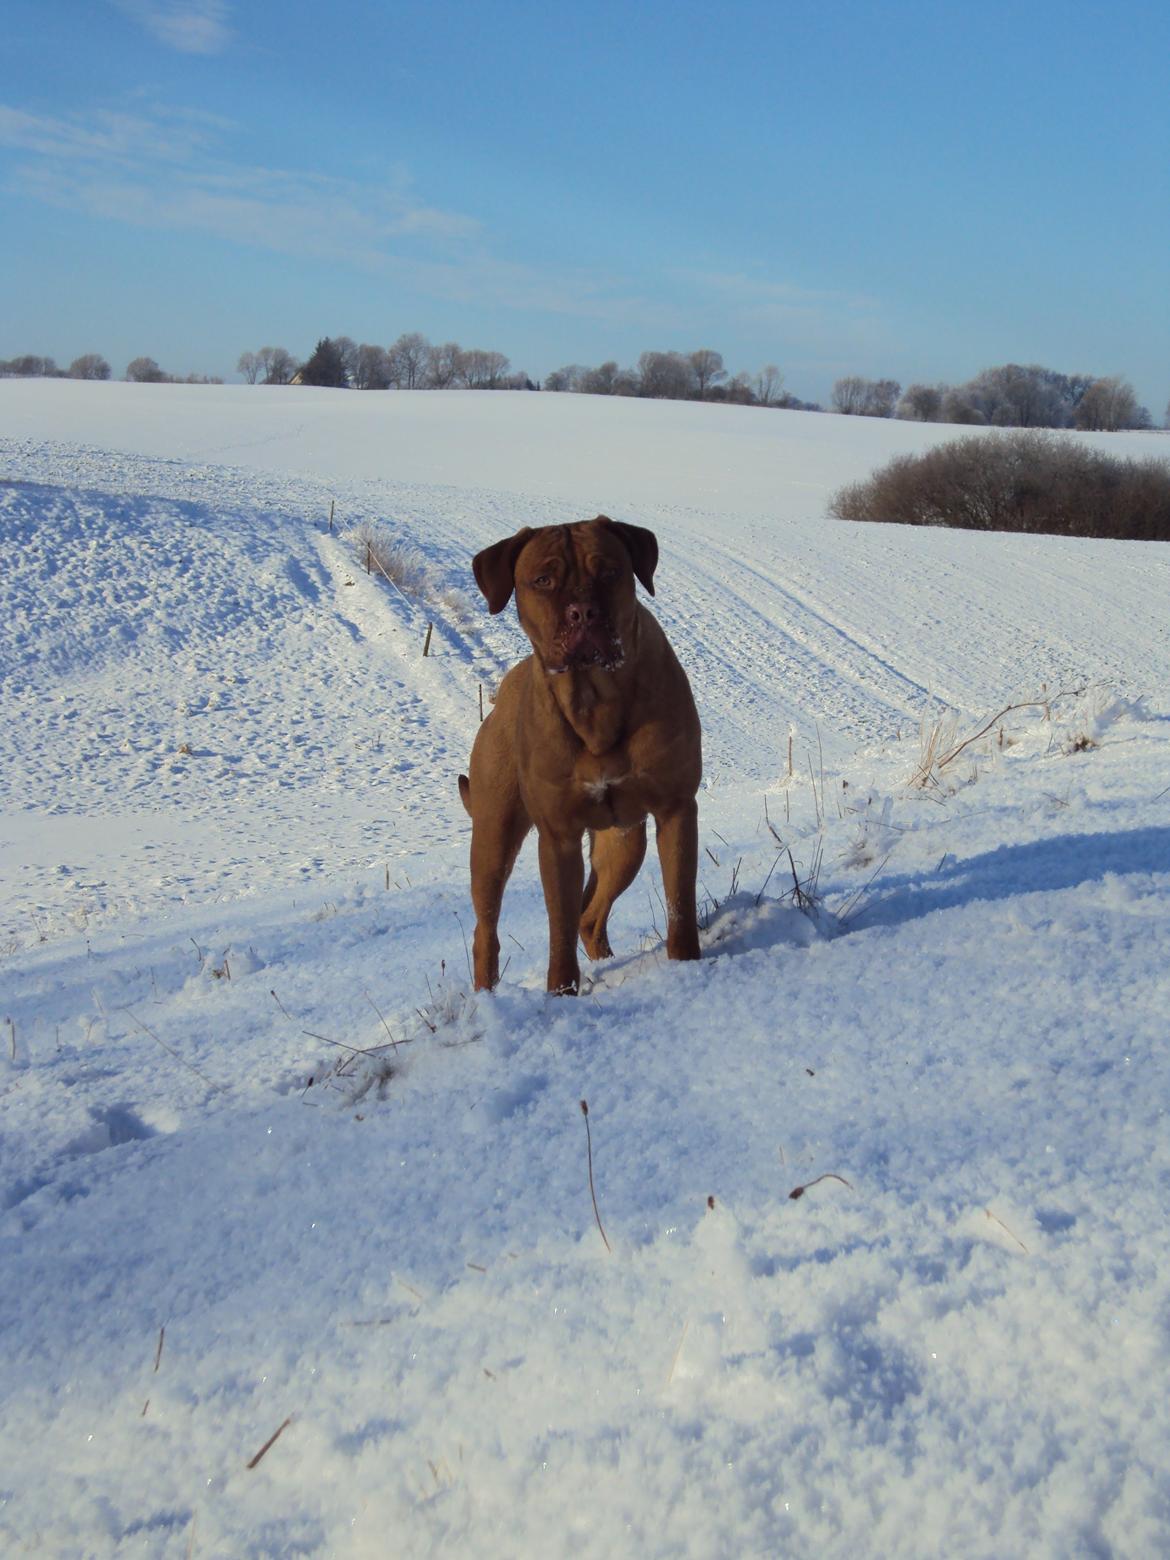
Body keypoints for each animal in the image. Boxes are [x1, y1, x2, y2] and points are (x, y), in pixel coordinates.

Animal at [458, 517, 702, 992]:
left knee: (590, 915)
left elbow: (680, 903)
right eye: (543, 580)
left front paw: (688, 967)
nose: (583, 612)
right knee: (487, 930)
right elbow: (559, 926)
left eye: (608, 572)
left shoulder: (676, 807)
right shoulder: (559, 834)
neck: (595, 701)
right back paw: (486, 993)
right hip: (493, 833)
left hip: (624, 841)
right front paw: (561, 992)